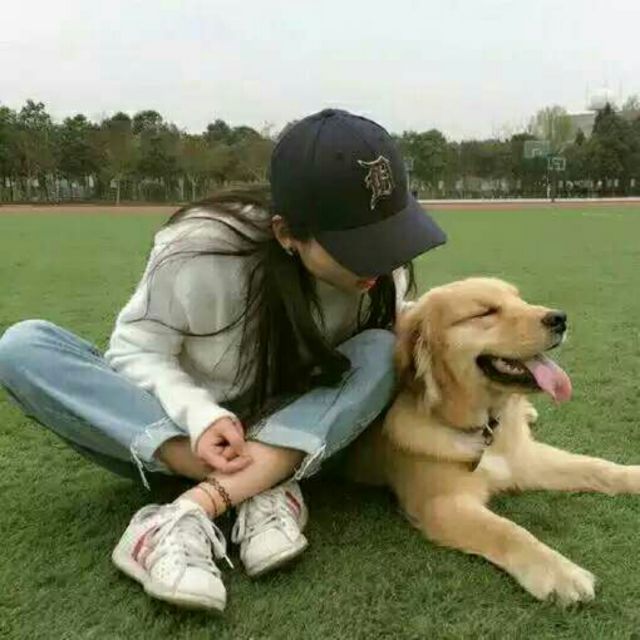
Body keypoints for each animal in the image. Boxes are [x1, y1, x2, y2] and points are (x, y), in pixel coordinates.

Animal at [350, 277, 640, 605]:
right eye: (485, 312)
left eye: (519, 300)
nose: (560, 318)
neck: (486, 428)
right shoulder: (442, 504)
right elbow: (507, 530)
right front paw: (558, 571)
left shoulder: (524, 458)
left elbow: (595, 466)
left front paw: (634, 476)